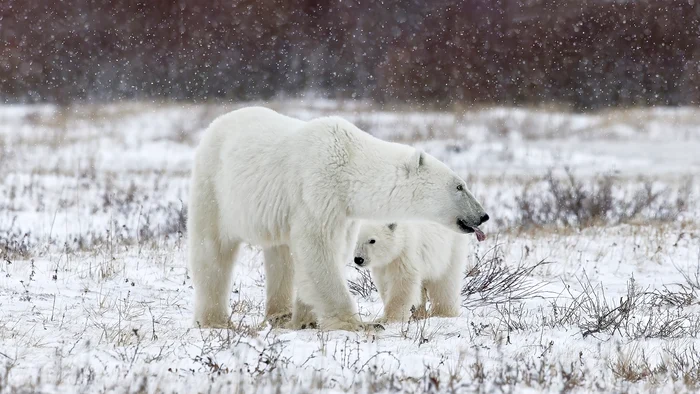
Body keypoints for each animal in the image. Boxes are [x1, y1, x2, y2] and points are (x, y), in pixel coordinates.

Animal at [352, 222, 484, 324]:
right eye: (354, 240)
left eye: (372, 240)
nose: (359, 259)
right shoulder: (383, 264)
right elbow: (384, 283)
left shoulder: (406, 251)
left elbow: (402, 282)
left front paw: (388, 319)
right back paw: (419, 314)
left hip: (450, 249)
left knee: (446, 282)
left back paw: (443, 313)